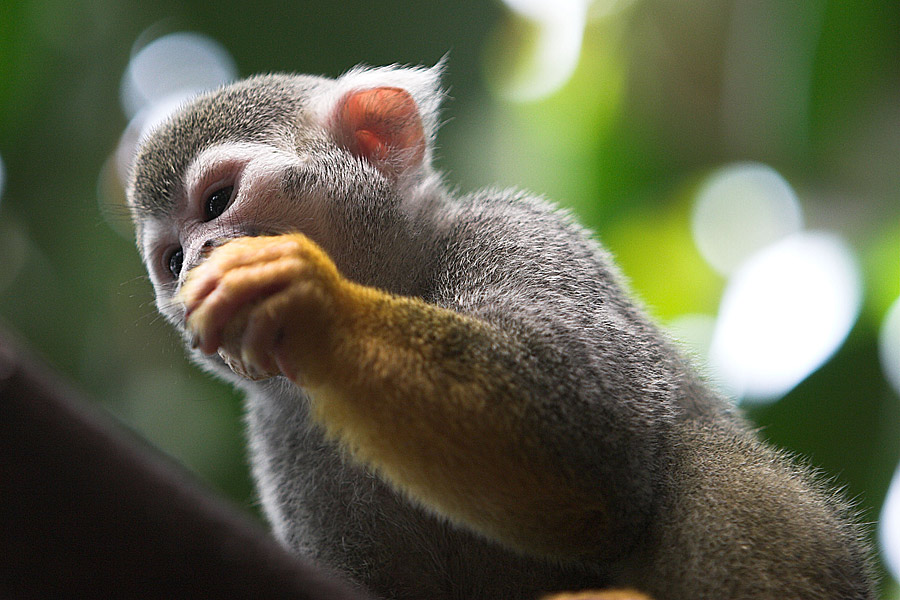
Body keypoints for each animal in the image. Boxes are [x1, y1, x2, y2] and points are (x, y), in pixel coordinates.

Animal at [126, 63, 872, 596]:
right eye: (173, 262)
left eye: (218, 202)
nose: (198, 263)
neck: (405, 276)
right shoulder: (279, 425)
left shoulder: (517, 230)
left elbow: (584, 439)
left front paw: (313, 303)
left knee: (704, 459)